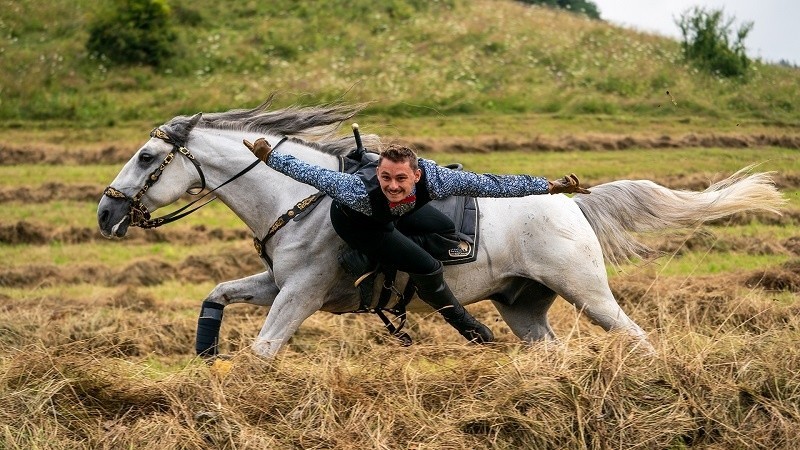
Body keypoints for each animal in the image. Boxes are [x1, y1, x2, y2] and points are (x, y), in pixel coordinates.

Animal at [97, 99, 784, 358]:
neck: (306, 200)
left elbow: (265, 348)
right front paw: (206, 355)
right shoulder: (278, 283)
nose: (105, 213)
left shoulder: (301, 293)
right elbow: (216, 295)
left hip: (588, 293)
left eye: (146, 157)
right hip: (524, 307)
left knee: (637, 336)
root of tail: (572, 206)